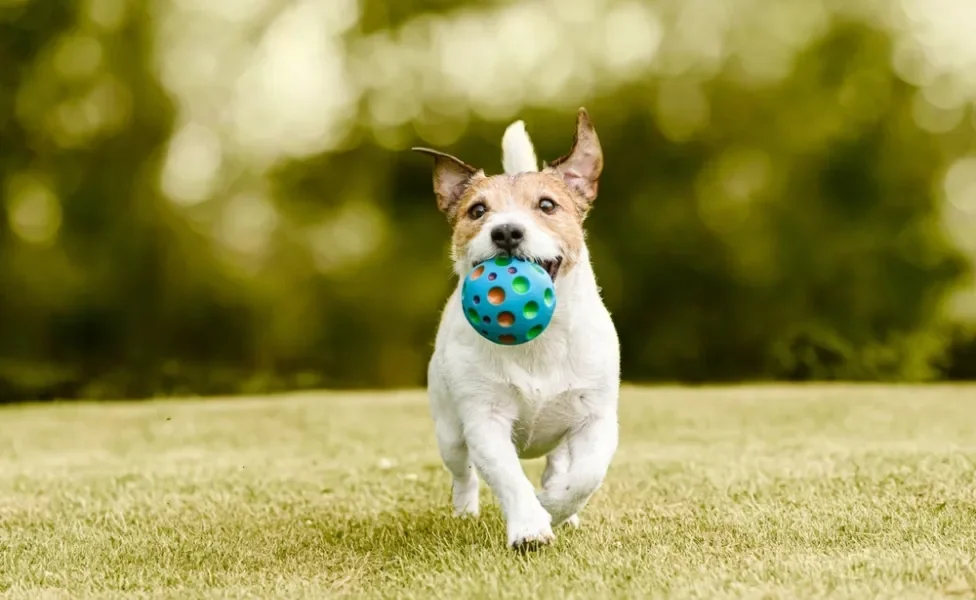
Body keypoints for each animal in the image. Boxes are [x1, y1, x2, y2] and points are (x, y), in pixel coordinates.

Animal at [412, 110, 616, 552]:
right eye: (477, 211)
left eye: (547, 205)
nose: (506, 231)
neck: (539, 342)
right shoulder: (484, 420)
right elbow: (507, 477)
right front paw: (530, 525)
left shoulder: (596, 417)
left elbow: (585, 476)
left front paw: (554, 506)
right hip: (449, 431)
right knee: (463, 473)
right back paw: (464, 511)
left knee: (559, 464)